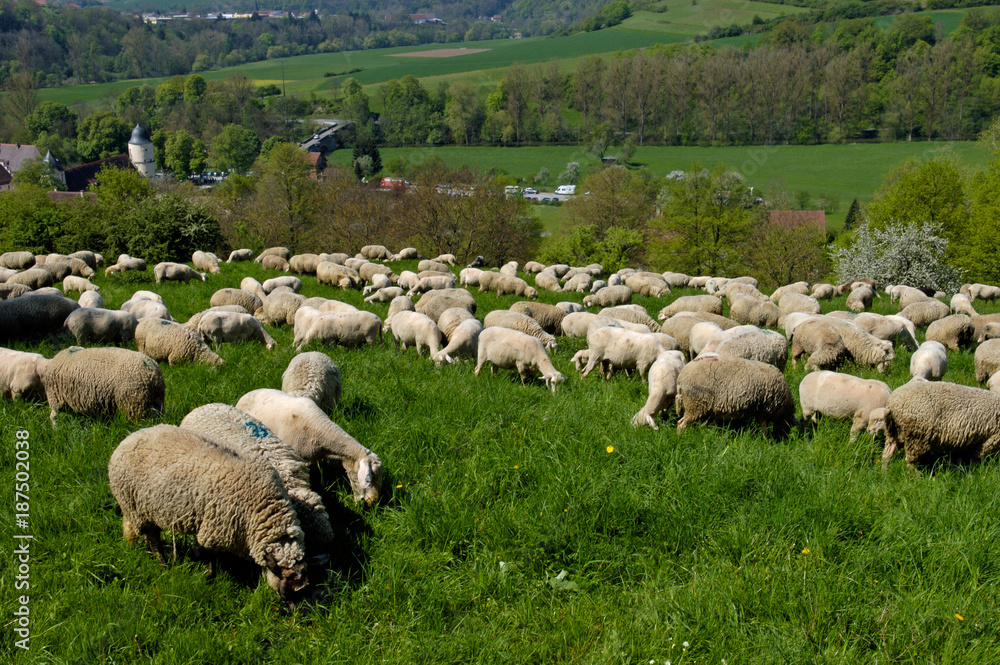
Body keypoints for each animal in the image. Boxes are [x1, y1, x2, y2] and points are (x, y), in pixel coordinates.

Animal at [108, 424, 310, 606]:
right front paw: (209, 575)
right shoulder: (217, 529)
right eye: (284, 593)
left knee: (132, 527)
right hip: (138, 508)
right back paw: (164, 564)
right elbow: (211, 555)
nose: (295, 614)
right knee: (152, 539)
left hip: (136, 508)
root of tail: (127, 439)